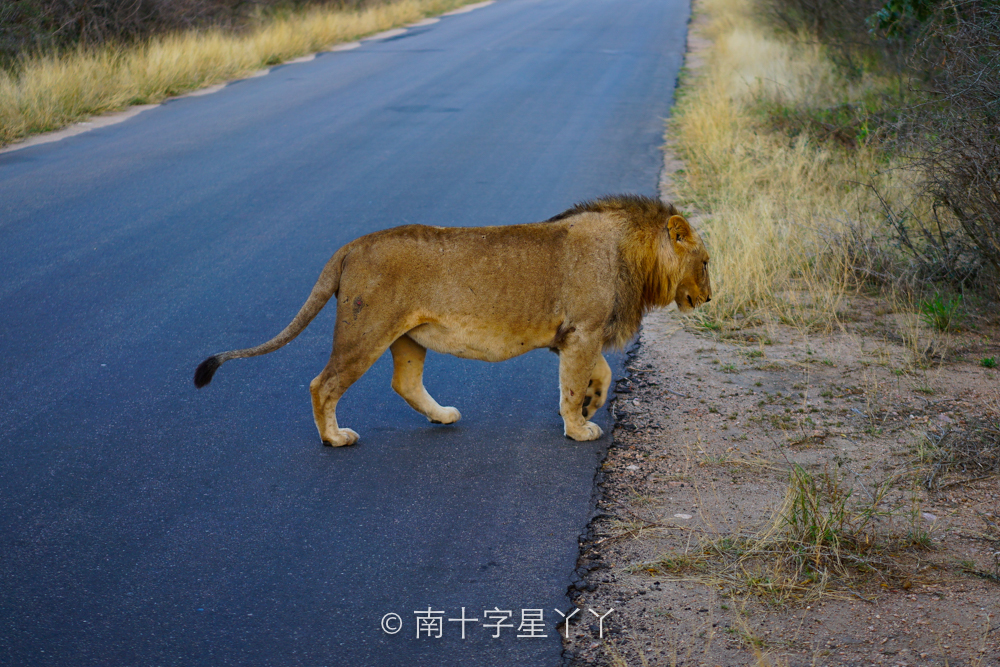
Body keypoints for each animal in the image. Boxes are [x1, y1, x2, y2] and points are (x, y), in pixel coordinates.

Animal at [193, 194, 712, 444]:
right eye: (706, 262)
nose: (709, 297)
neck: (631, 252)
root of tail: (352, 246)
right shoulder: (582, 332)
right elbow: (572, 384)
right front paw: (578, 427)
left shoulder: (574, 336)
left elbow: (598, 374)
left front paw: (591, 404)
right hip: (365, 332)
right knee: (323, 383)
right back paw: (334, 438)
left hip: (407, 336)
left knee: (404, 383)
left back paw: (442, 415)